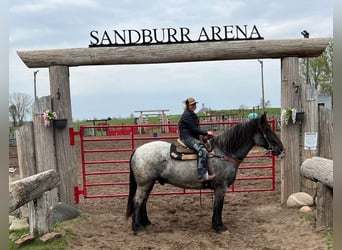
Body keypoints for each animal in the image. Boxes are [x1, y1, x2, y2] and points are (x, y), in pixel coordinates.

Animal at [127, 113, 284, 232]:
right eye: (267, 129)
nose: (281, 148)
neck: (224, 152)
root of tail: (137, 150)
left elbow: (217, 207)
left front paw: (215, 225)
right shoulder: (221, 187)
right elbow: (218, 206)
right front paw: (219, 227)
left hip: (149, 183)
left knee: (144, 201)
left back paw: (146, 223)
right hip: (144, 183)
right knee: (138, 200)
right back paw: (137, 227)